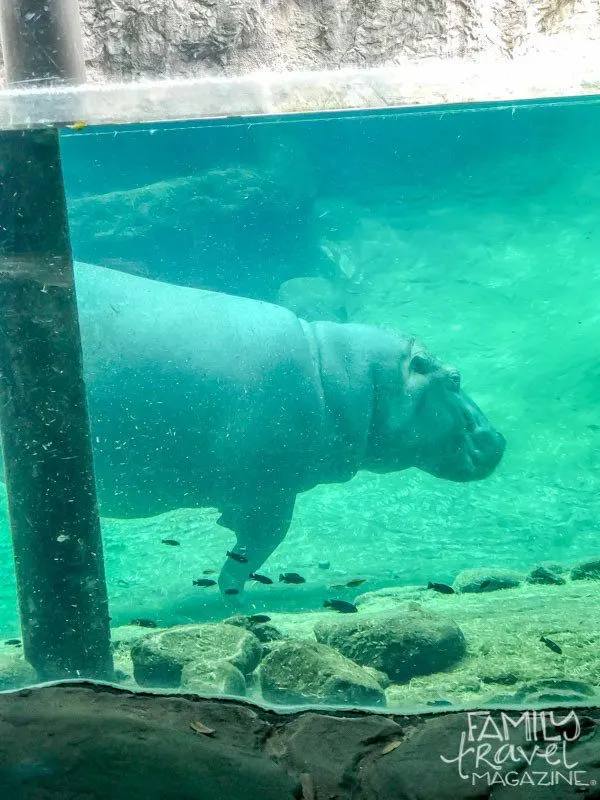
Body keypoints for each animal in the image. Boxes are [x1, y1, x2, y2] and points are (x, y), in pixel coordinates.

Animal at [70, 264, 504, 600]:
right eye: (454, 379)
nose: (498, 440)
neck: (342, 375)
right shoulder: (270, 490)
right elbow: (260, 543)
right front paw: (232, 594)